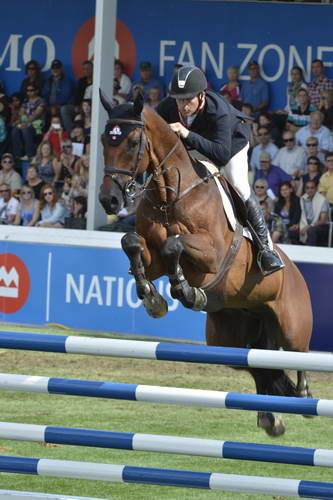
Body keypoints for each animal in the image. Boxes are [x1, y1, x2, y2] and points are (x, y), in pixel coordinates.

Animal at [98, 92, 312, 436]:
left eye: (131, 143)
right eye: (105, 139)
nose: (110, 201)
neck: (169, 194)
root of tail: (295, 271)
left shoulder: (212, 253)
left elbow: (174, 244)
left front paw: (186, 291)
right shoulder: (152, 256)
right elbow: (132, 243)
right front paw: (154, 298)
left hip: (292, 325)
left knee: (299, 356)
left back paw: (303, 397)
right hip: (229, 338)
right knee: (258, 367)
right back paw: (271, 418)